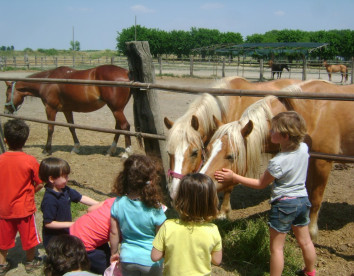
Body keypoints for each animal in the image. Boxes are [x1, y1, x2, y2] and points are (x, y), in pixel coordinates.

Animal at [199, 79, 354, 239]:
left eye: (232, 156)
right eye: (207, 150)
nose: (201, 185)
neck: (311, 113)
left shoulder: (322, 162)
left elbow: (316, 198)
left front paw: (311, 231)